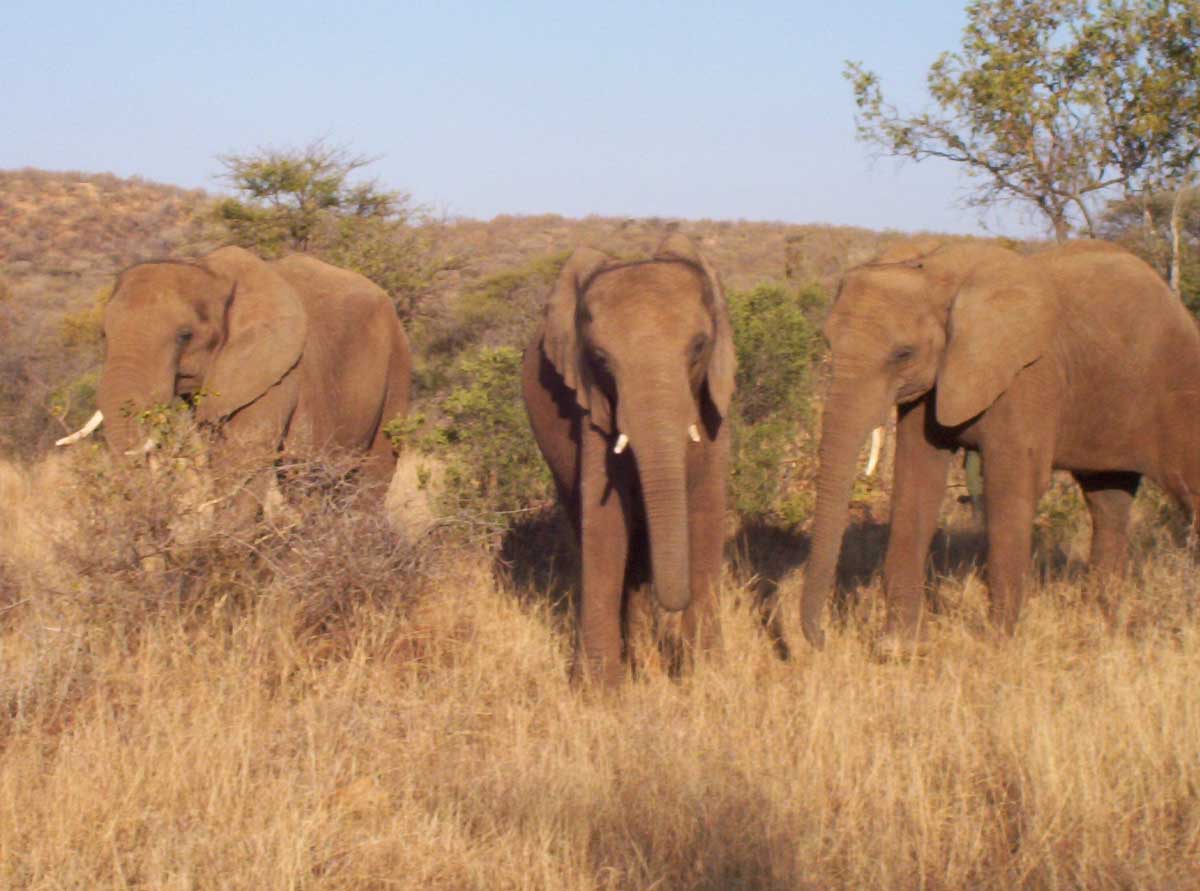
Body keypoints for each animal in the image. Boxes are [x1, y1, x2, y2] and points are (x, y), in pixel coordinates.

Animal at [60, 246, 412, 509]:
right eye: (104, 335)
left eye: (184, 336)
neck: (211, 272)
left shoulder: (278, 372)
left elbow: (242, 465)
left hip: (397, 365)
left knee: (368, 476)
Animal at [520, 234, 734, 686]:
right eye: (600, 359)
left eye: (698, 347)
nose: (672, 604)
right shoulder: (591, 410)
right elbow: (606, 526)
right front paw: (597, 690)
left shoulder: (714, 405)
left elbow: (706, 512)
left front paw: (709, 678)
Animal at [801, 237, 1200, 653]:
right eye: (827, 342)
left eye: (902, 354)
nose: (823, 639)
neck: (939, 275)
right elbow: (917, 482)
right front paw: (900, 648)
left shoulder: (1027, 377)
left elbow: (1011, 486)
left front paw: (995, 647)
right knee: (1108, 502)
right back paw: (1103, 625)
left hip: (1181, 385)